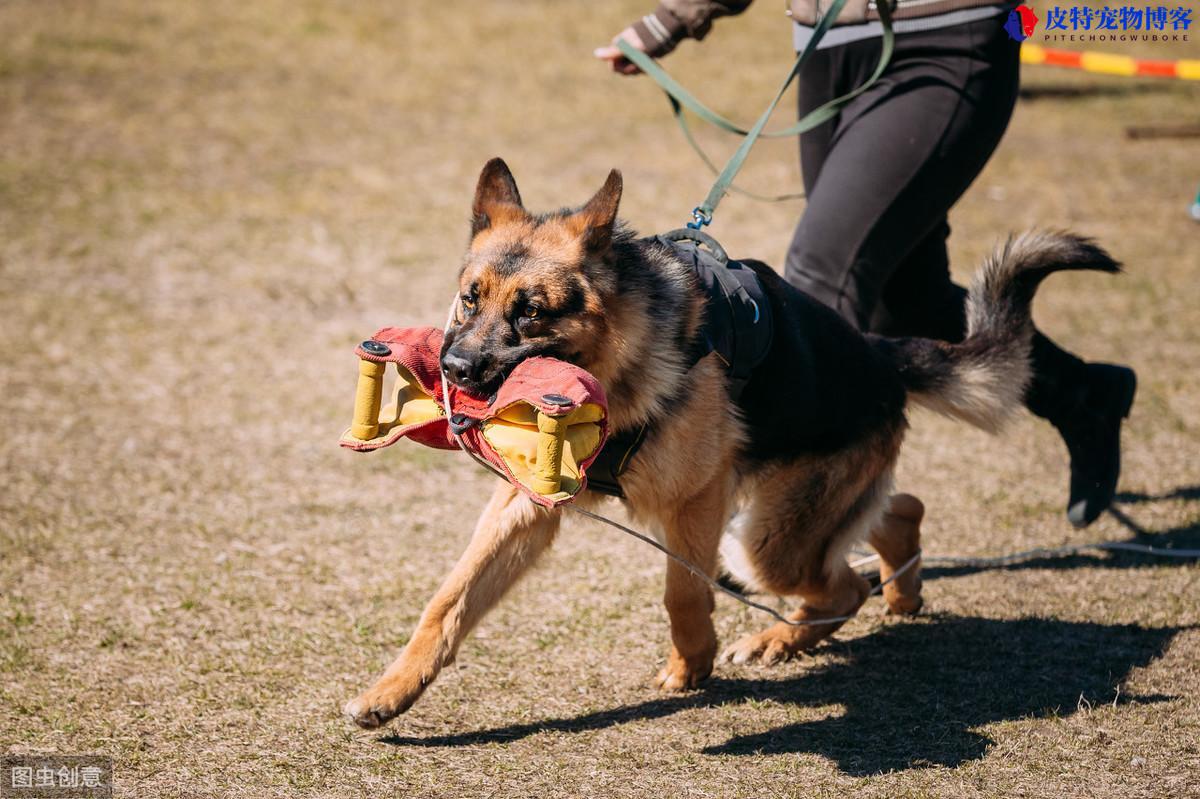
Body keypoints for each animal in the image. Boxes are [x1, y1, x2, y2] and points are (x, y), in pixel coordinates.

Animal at [343, 158, 1118, 724]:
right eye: (470, 298)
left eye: (530, 313)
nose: (454, 369)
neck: (619, 363)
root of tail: (876, 352)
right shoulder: (523, 506)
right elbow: (448, 602)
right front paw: (391, 691)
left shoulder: (697, 500)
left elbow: (682, 591)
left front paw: (692, 665)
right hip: (790, 512)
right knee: (897, 513)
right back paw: (900, 591)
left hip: (760, 539)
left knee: (844, 580)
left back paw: (780, 637)